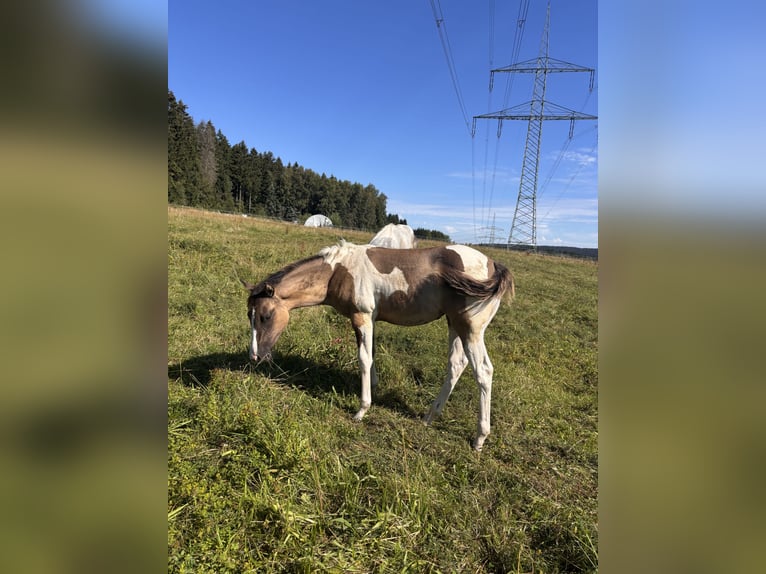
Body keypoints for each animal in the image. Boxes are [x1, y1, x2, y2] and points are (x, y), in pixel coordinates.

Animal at [241, 241, 514, 451]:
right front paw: (372, 386)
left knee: (483, 371)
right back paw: (429, 417)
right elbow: (369, 355)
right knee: (456, 365)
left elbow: (363, 358)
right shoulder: (367, 319)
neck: (338, 271)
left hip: (470, 329)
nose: (255, 356)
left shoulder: (362, 316)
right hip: (454, 324)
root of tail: (493, 265)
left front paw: (362, 410)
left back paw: (479, 438)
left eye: (265, 316)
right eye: (249, 315)